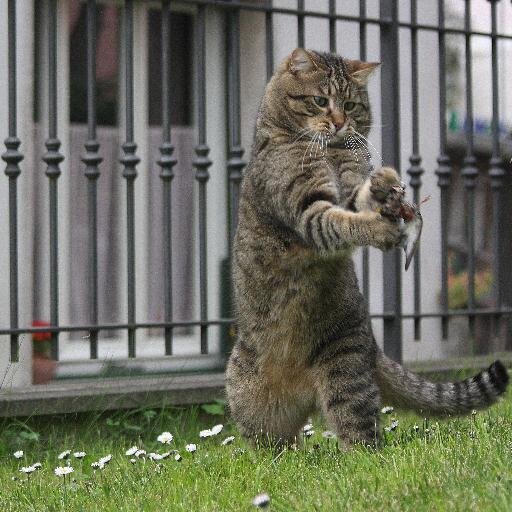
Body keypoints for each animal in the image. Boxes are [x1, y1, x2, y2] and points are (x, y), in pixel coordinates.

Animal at [226, 49, 510, 448]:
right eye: (320, 101)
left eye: (349, 105)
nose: (339, 123)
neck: (327, 151)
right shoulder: (308, 208)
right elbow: (342, 222)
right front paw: (379, 226)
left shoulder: (342, 192)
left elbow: (355, 200)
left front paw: (383, 183)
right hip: (251, 398)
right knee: (276, 443)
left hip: (344, 364)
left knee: (359, 435)